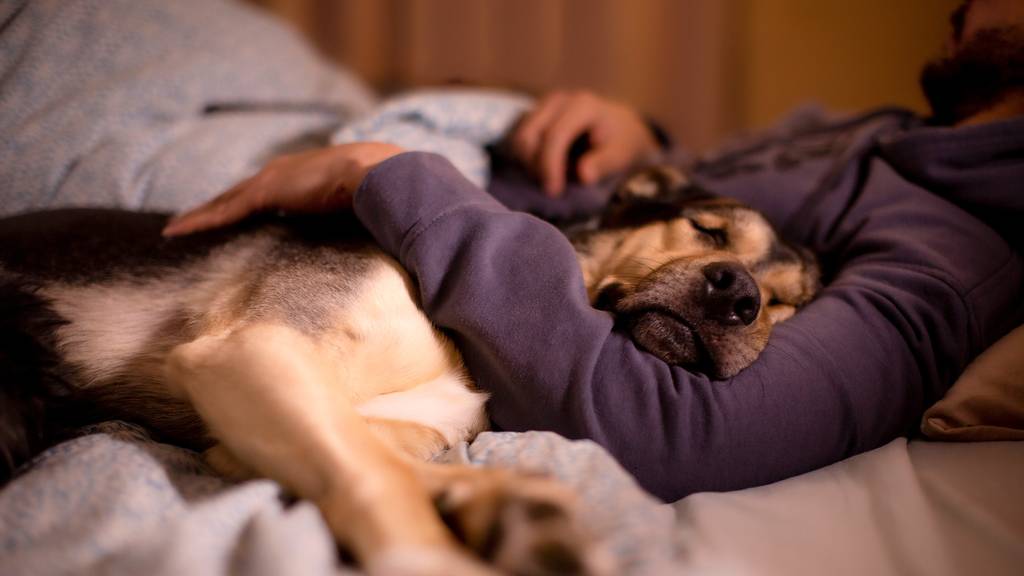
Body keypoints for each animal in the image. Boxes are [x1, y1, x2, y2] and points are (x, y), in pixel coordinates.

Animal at [0, 165, 815, 569]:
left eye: (785, 305)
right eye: (706, 230)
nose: (741, 296)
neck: (463, 344)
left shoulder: (261, 410)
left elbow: (380, 450)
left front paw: (503, 503)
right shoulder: (254, 347)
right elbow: (375, 473)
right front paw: (434, 551)